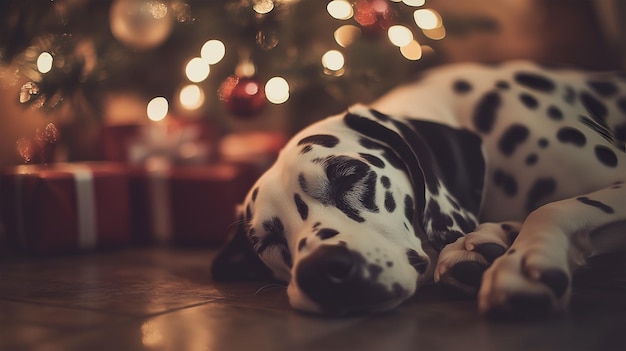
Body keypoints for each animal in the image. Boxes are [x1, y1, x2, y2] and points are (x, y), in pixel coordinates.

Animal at [211, 60, 624, 320]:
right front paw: (483, 243)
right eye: (267, 241)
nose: (319, 272)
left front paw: (522, 261)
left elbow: (549, 208)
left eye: (348, 176)